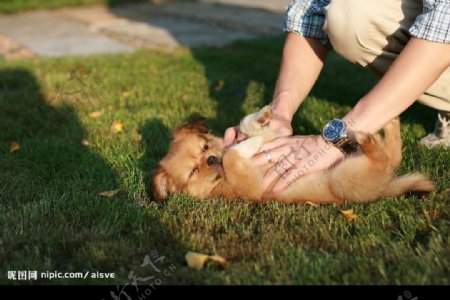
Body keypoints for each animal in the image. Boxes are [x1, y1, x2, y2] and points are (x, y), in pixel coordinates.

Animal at [153, 105, 434, 204]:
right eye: (194, 172)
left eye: (204, 147)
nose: (212, 159)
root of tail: (384, 189)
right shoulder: (251, 186)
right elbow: (233, 157)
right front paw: (244, 145)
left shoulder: (274, 138)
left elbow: (247, 126)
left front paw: (261, 117)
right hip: (346, 178)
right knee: (385, 161)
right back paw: (373, 137)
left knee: (393, 157)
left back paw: (390, 123)